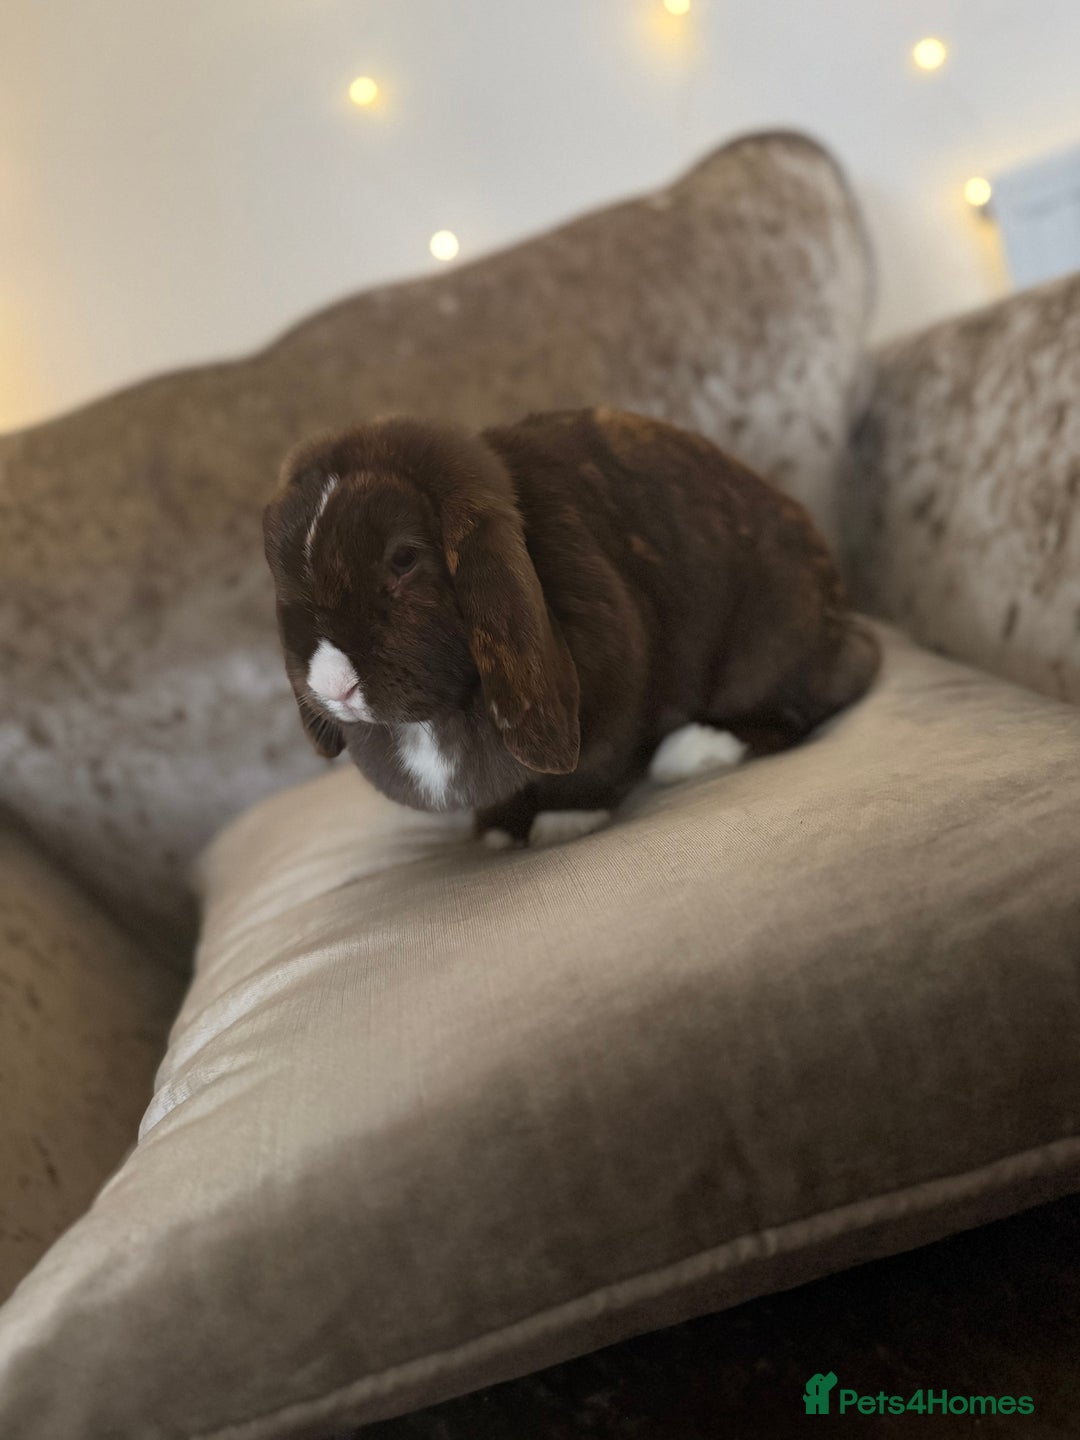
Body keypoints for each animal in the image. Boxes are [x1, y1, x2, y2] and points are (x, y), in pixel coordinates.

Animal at [262, 407, 880, 847]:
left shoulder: (615, 701)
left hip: (768, 645)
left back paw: (691, 751)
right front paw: (498, 828)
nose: (332, 685)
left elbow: (592, 766)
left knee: (811, 699)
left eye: (404, 558)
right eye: (280, 572)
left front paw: (558, 824)